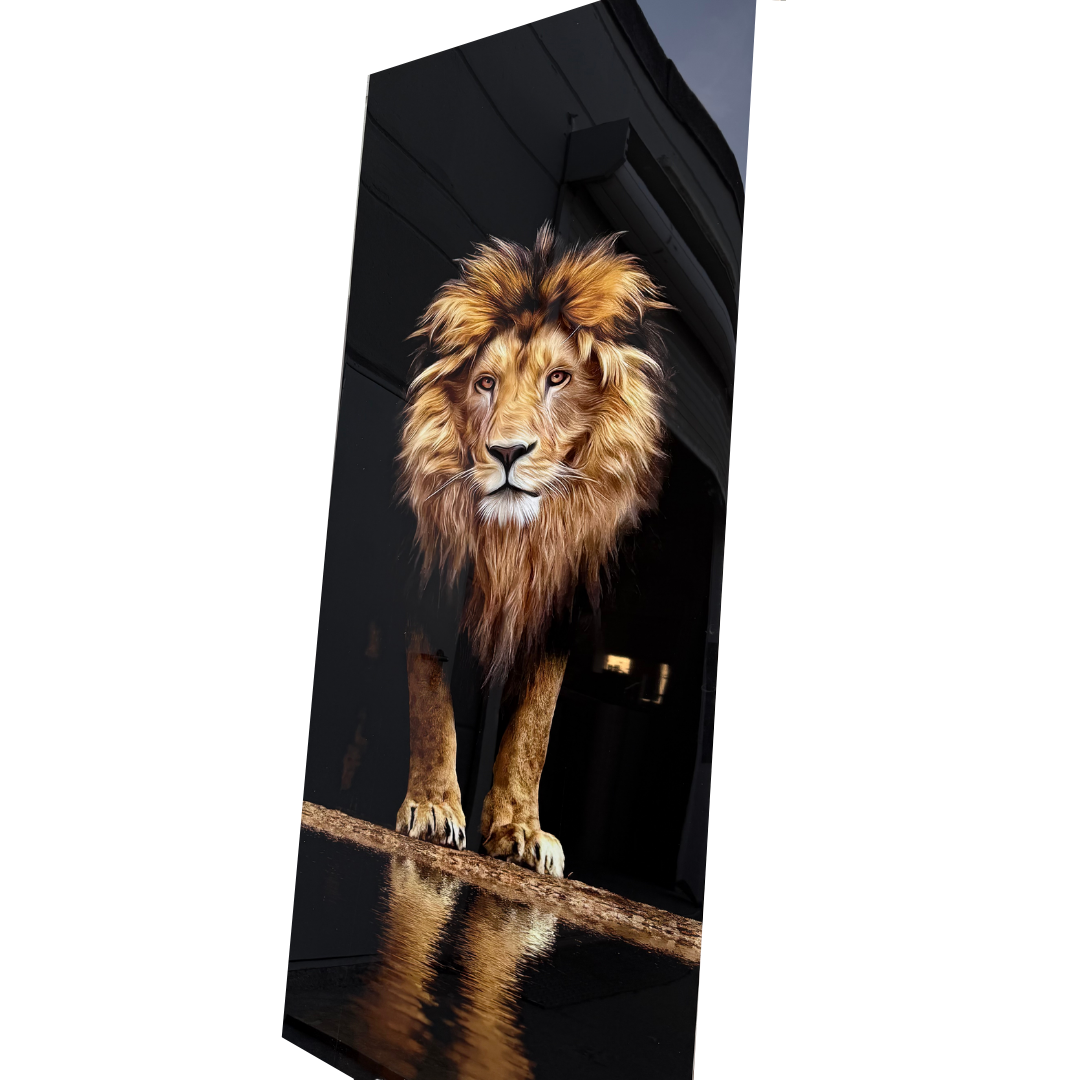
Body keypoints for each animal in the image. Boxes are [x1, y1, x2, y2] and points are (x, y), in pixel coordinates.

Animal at [394, 223, 670, 877]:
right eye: (485, 383)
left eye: (559, 378)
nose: (507, 452)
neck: (513, 541)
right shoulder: (430, 574)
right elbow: (430, 695)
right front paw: (434, 807)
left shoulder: (558, 603)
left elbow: (533, 728)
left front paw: (519, 829)